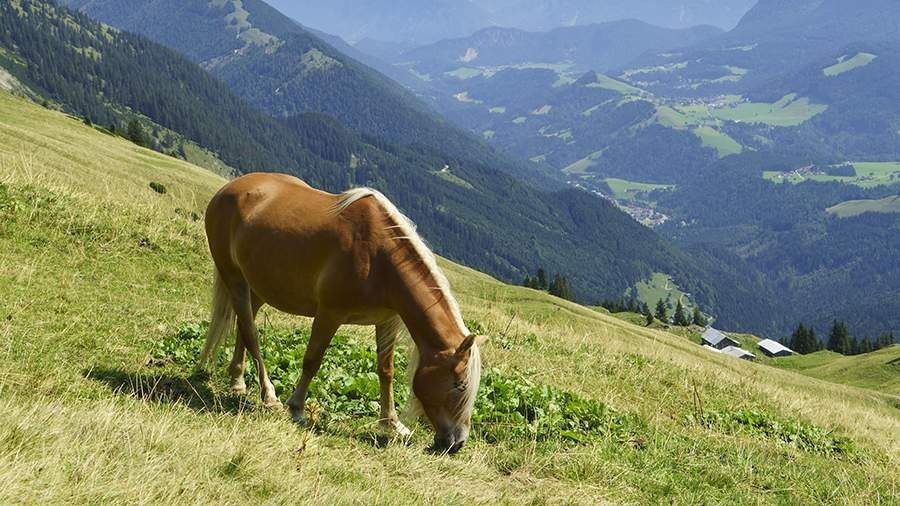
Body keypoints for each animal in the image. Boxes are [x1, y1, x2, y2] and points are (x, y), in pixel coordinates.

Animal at [198, 173, 482, 453]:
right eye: (460, 385)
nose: (457, 443)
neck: (379, 258)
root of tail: (229, 189)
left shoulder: (386, 321)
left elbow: (386, 371)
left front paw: (391, 422)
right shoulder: (329, 314)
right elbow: (312, 360)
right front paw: (296, 408)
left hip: (257, 286)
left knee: (244, 326)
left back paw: (238, 381)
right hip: (234, 278)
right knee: (250, 331)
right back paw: (268, 395)